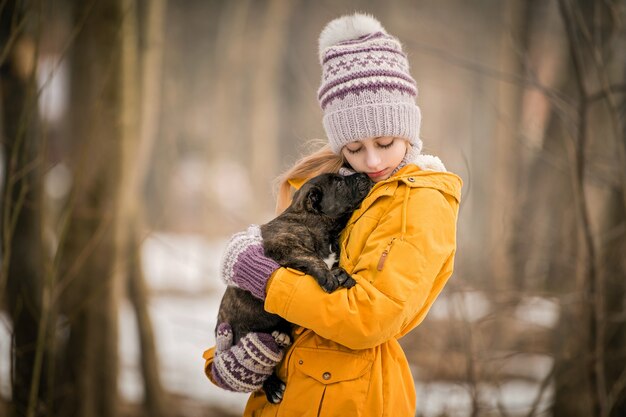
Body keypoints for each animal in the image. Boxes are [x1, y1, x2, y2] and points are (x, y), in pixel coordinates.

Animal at [216, 171, 370, 402]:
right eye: (339, 182)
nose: (363, 175)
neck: (317, 224)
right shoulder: (283, 244)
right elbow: (309, 256)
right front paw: (327, 276)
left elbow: (332, 263)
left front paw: (342, 275)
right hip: (241, 331)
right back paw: (273, 387)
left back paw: (282, 334)